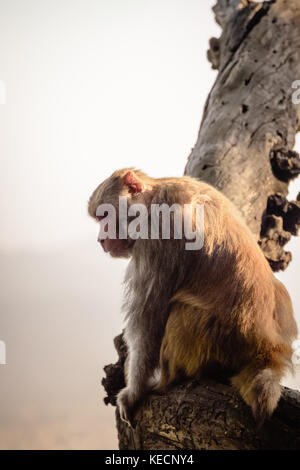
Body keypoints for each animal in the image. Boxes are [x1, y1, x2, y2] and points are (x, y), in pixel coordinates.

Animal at [87, 168, 298, 426]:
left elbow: (148, 321)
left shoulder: (157, 232)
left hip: (209, 340)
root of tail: (268, 347)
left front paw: (134, 392)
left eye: (104, 216)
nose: (101, 240)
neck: (152, 197)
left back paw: (167, 380)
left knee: (182, 310)